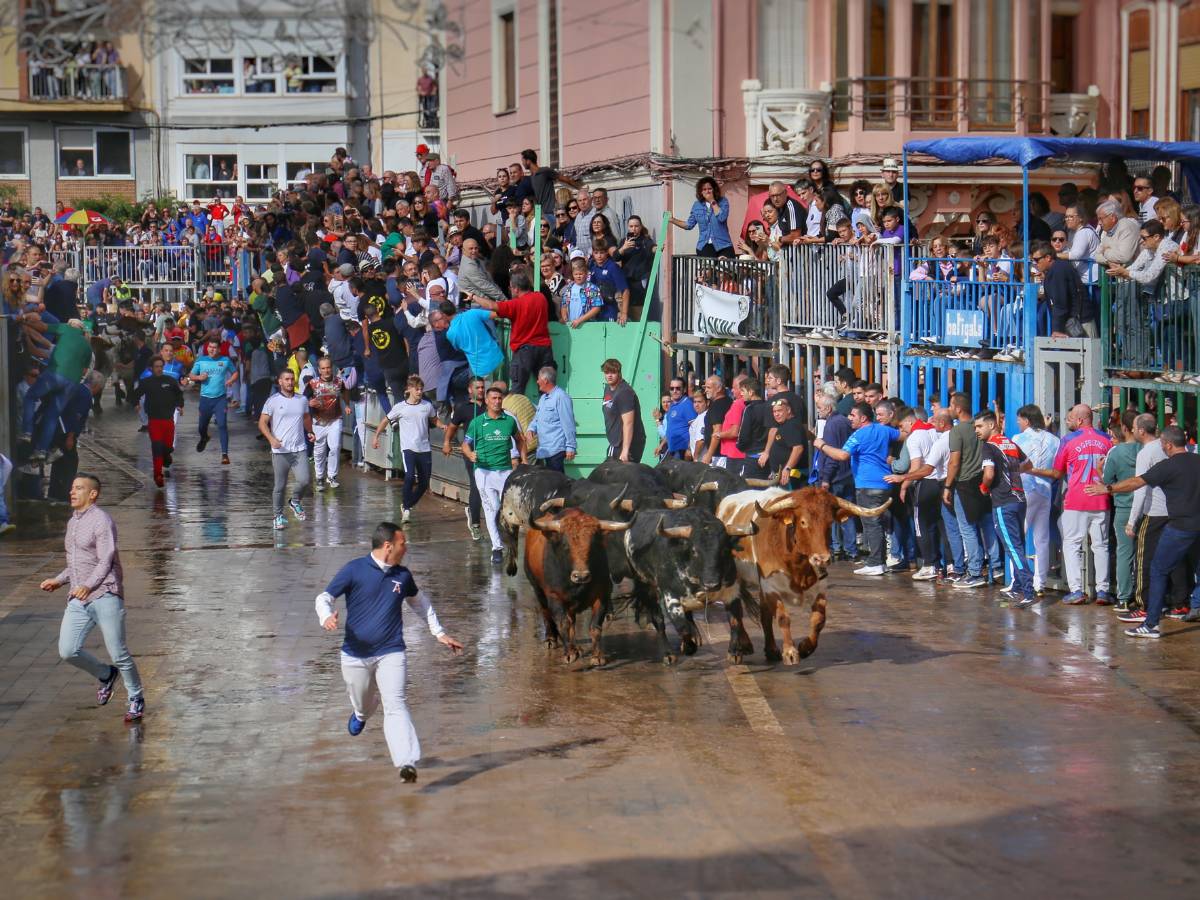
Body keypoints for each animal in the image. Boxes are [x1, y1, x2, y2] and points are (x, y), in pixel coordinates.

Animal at [528, 508, 633, 672]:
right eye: (566, 545)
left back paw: (576, 647)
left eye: (593, 545)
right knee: (546, 612)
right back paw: (551, 639)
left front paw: (597, 657)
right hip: (538, 590)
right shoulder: (555, 597)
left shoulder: (601, 596)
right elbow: (563, 623)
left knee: (572, 621)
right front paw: (569, 654)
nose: (581, 576)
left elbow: (595, 627)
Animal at [710, 489, 892, 667]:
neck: (797, 562)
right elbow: (783, 618)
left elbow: (819, 620)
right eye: (803, 522)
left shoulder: (819, 587)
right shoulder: (771, 586)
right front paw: (790, 652)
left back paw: (771, 650)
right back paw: (742, 646)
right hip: (734, 578)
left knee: (764, 615)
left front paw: (805, 647)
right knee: (736, 609)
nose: (822, 559)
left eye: (830, 523)